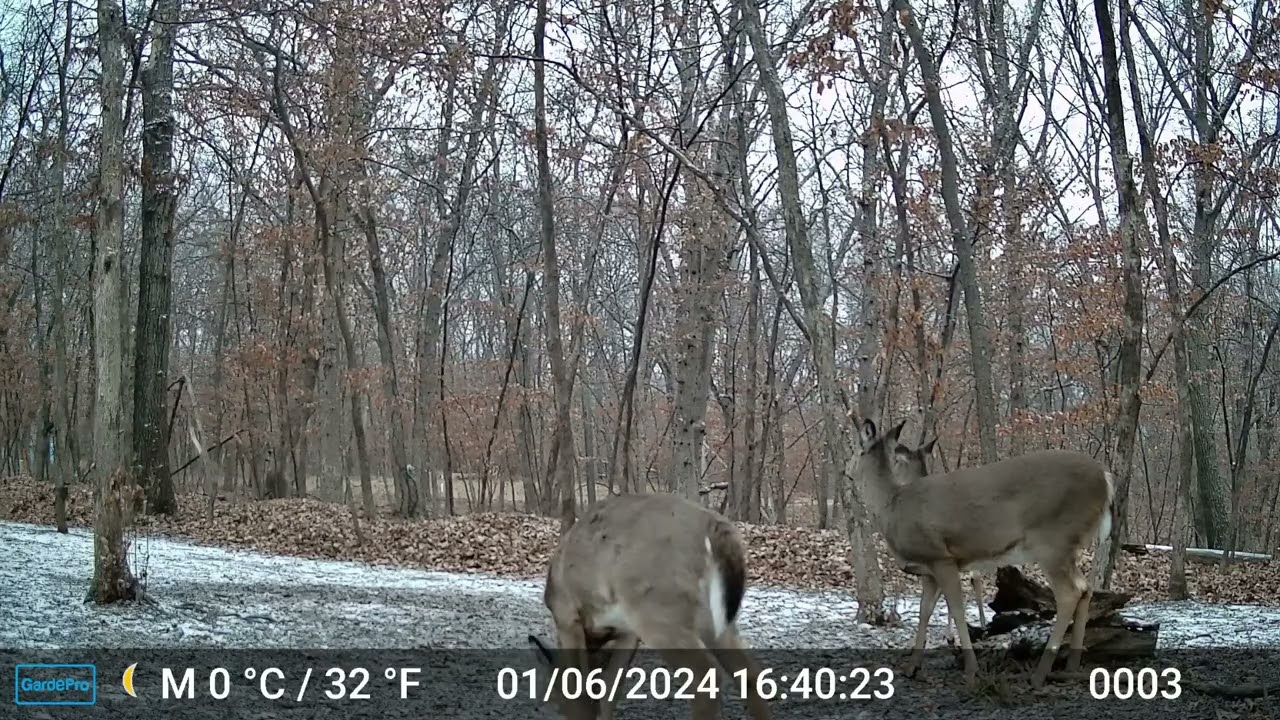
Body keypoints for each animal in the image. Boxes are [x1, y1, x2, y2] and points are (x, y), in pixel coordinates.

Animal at [527, 492, 772, 720]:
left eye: (552, 693)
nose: (544, 707)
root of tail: (712, 525)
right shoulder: (627, 633)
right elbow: (609, 693)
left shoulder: (567, 616)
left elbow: (582, 696)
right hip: (712, 619)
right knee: (750, 674)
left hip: (658, 609)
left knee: (705, 677)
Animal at [847, 416, 1115, 688]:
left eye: (856, 450)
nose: (847, 471)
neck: (892, 505)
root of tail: (1105, 478)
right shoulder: (928, 569)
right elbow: (924, 612)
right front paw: (912, 667)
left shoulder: (941, 556)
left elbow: (957, 609)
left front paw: (971, 669)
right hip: (1067, 547)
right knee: (1086, 588)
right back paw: (1071, 667)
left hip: (1053, 541)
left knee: (1070, 593)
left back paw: (1040, 674)